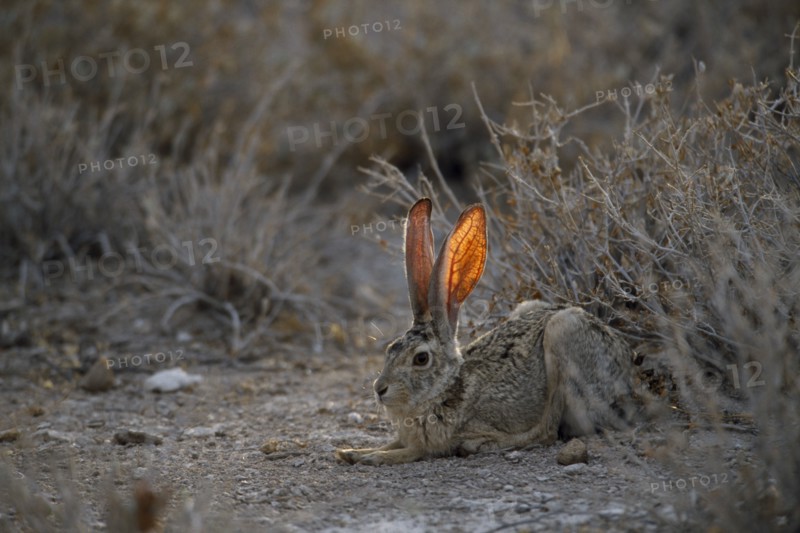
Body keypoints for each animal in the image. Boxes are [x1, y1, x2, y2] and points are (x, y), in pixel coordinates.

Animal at [336, 198, 640, 466]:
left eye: (420, 359)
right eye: (390, 349)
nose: (379, 389)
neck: (446, 389)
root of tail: (629, 379)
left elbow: (415, 451)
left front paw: (373, 457)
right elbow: (393, 442)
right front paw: (352, 452)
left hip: (563, 332)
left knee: (547, 431)